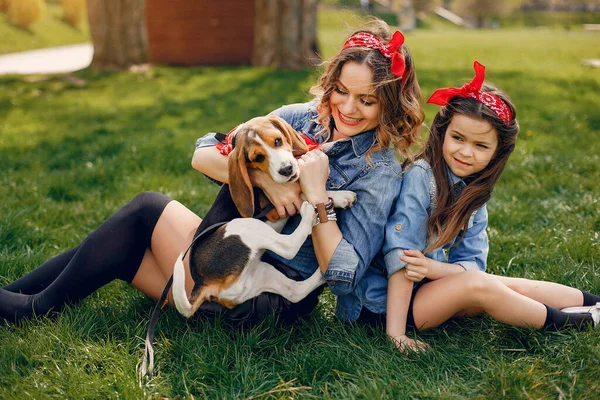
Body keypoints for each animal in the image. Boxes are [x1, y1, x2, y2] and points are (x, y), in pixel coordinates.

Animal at [170, 114, 356, 318]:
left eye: (278, 141)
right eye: (258, 157)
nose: (286, 169)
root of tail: (203, 284)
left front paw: (329, 146)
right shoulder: (275, 207)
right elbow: (300, 191)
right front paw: (340, 196)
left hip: (261, 275)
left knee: (294, 291)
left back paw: (323, 274)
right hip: (244, 227)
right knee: (288, 246)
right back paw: (309, 215)